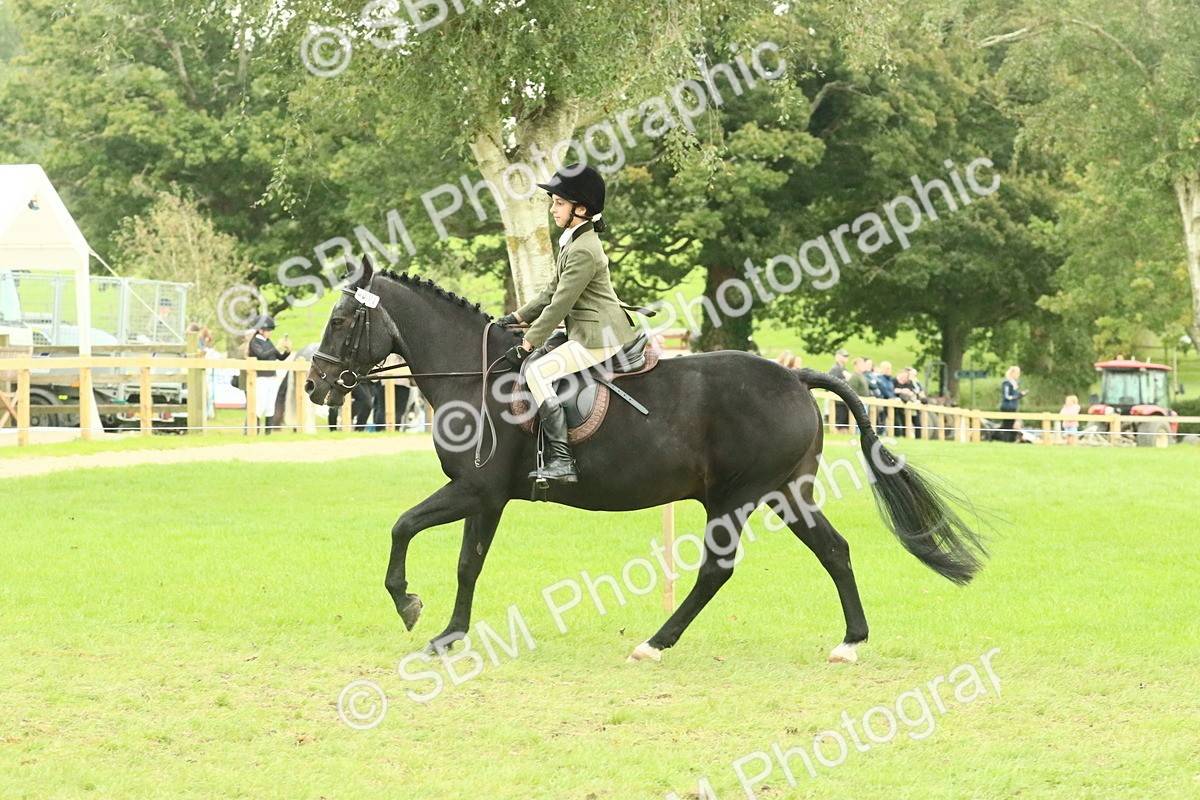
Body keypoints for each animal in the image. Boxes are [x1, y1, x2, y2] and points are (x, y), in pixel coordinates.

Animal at [304, 257, 987, 664]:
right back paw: (849, 642)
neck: (477, 378)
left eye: (339, 320)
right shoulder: (485, 498)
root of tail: (795, 379)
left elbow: (405, 529)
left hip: (736, 498)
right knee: (836, 551)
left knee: (717, 570)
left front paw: (408, 605)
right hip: (786, 493)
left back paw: (656, 644)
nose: (315, 387)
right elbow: (468, 562)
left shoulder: (479, 490)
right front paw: (449, 634)